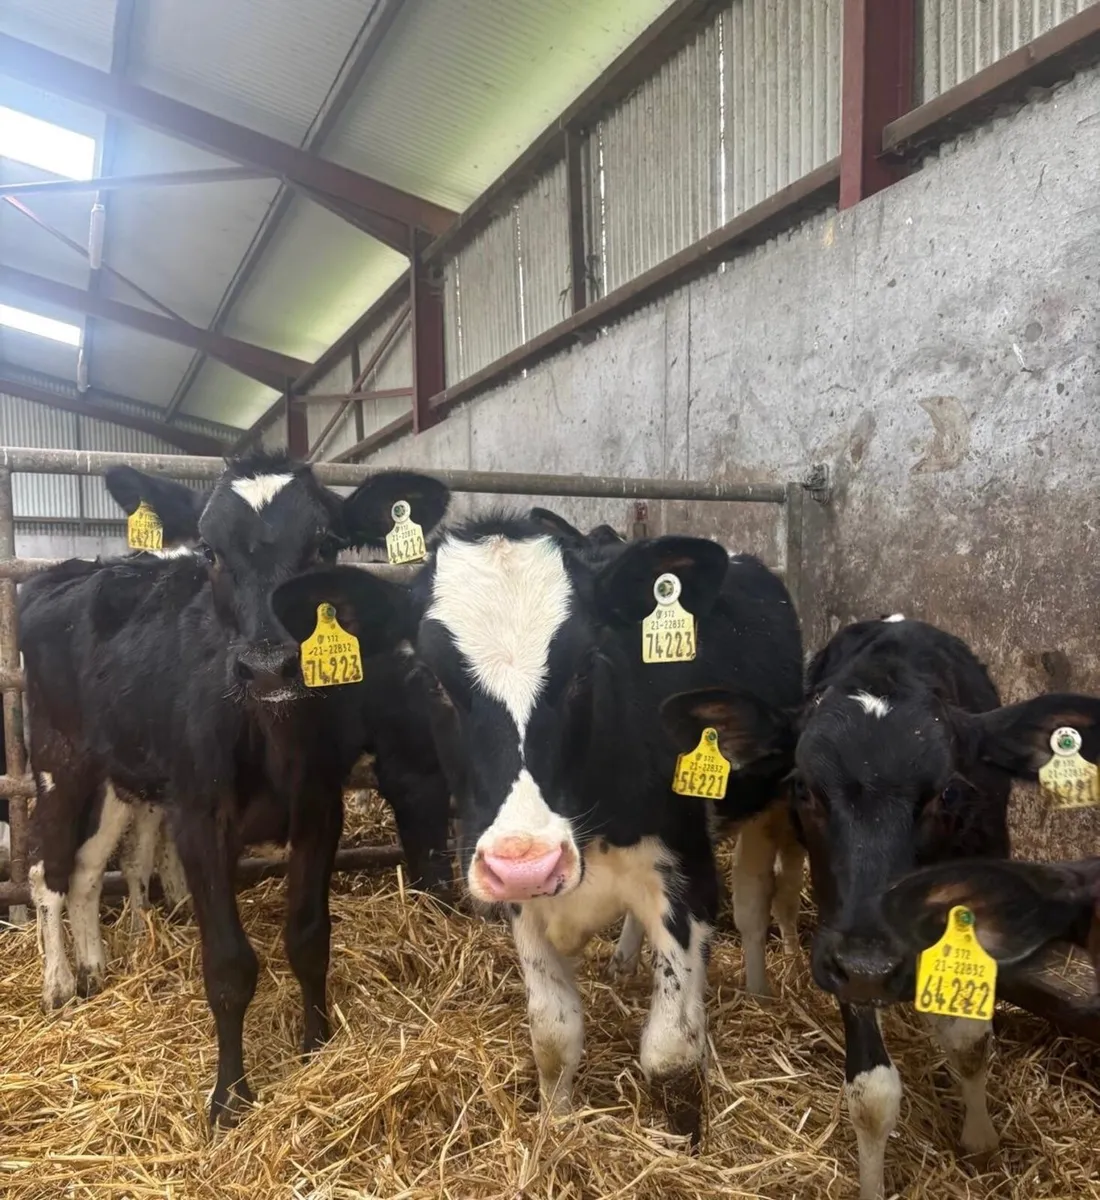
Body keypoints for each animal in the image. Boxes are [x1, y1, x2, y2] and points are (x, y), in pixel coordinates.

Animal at [19, 453, 453, 1124]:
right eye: (210, 552)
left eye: (324, 546)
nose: (270, 664)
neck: (272, 735)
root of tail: (66, 573)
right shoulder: (199, 816)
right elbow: (227, 964)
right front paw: (229, 1098)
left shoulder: (320, 807)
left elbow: (309, 937)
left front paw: (316, 1047)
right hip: (56, 759)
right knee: (49, 873)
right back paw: (59, 985)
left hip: (119, 772)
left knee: (90, 870)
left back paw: (93, 967)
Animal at [271, 517, 803, 1141]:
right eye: (429, 678)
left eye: (587, 665)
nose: (528, 862)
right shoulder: (518, 897)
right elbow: (554, 1034)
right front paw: (556, 1126)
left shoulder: (686, 875)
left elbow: (671, 1050)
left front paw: (685, 1139)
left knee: (755, 902)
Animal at [658, 614, 1100, 1198]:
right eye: (804, 787)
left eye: (948, 794)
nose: (872, 965)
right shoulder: (845, 940)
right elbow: (872, 1095)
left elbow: (968, 1042)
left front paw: (980, 1138)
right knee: (762, 894)